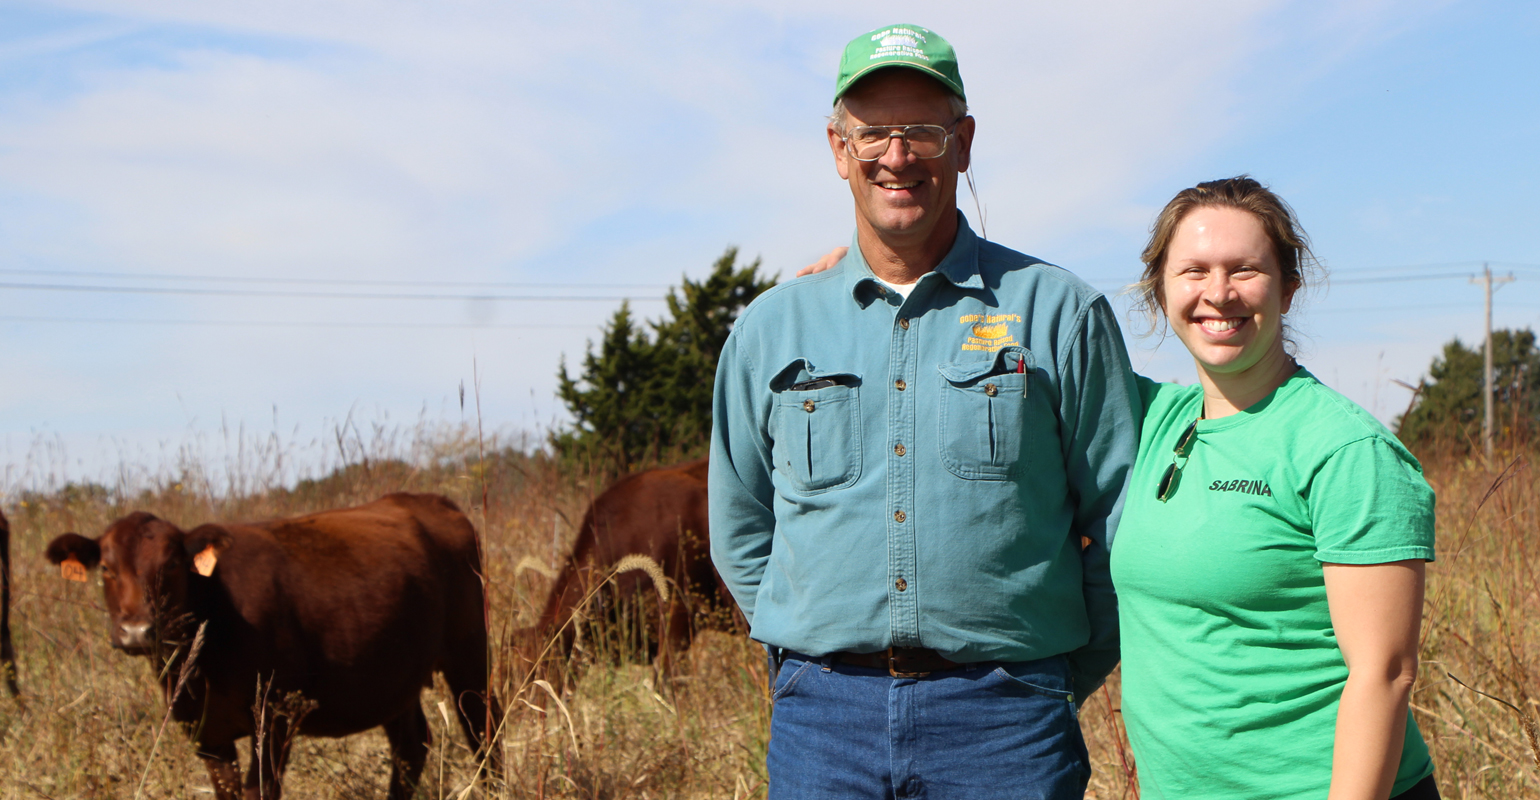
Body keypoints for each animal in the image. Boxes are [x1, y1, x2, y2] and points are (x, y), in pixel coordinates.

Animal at [45, 493, 498, 800]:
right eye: (106, 568)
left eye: (171, 564)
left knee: (483, 729)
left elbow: (259, 791)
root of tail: (424, 500)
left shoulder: (276, 713)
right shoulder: (204, 731)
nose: (138, 631)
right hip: (393, 676)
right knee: (411, 744)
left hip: (469, 654)